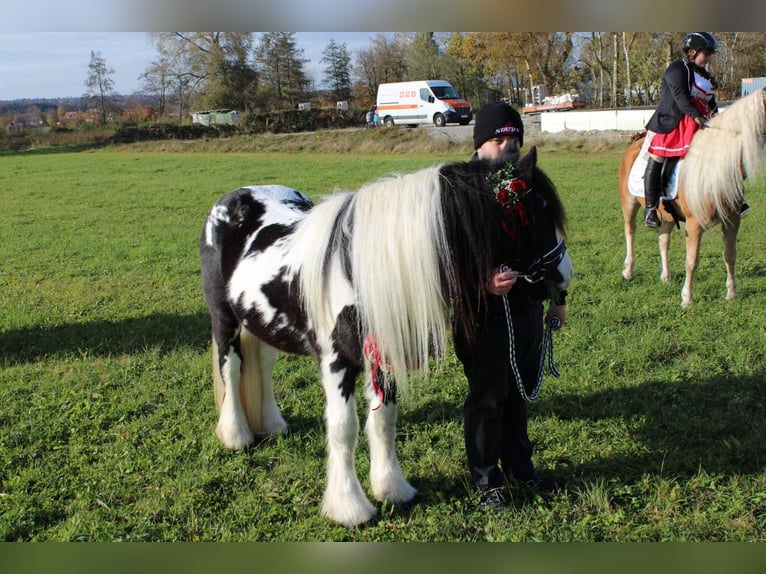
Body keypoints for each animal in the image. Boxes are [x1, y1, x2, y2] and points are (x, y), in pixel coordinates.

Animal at [201, 147, 572, 528]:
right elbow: (344, 428)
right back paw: (236, 435)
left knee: (262, 364)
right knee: (230, 368)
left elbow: (382, 421)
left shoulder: (384, 355)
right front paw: (349, 506)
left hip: (261, 321)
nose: (565, 274)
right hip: (224, 319)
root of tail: (235, 198)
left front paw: (391, 488)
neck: (357, 269)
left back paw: (273, 424)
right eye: (538, 210)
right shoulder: (337, 363)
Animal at [620, 86, 764, 308]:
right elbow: (692, 261)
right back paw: (628, 270)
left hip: (667, 214)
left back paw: (666, 277)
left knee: (663, 240)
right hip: (629, 203)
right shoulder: (694, 224)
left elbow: (730, 255)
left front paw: (731, 294)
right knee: (630, 231)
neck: (715, 166)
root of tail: (634, 145)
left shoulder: (732, 220)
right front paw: (687, 299)